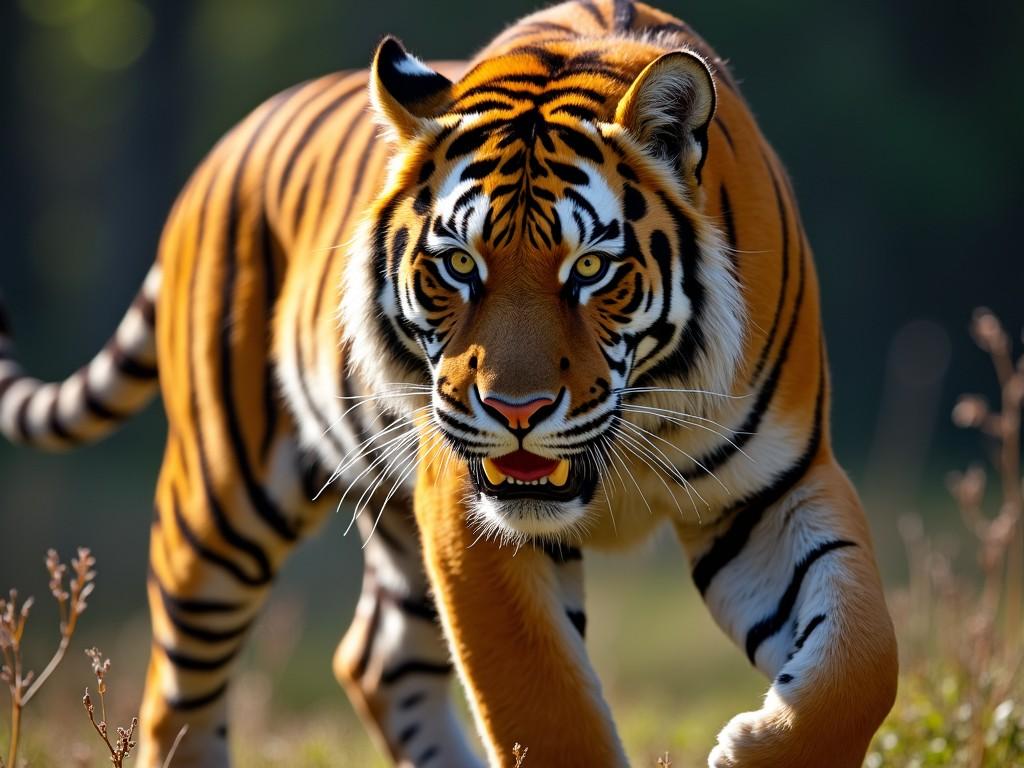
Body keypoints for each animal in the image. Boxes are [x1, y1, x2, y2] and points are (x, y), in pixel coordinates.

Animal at [0, 0, 897, 765]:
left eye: (591, 269)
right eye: (460, 264)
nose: (515, 411)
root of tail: (224, 148)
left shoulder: (774, 485)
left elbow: (863, 663)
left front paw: (757, 750)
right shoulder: (467, 513)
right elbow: (545, 708)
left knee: (375, 660)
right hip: (221, 501)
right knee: (176, 696)